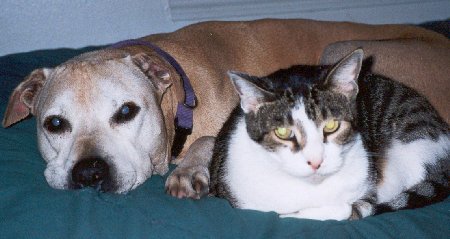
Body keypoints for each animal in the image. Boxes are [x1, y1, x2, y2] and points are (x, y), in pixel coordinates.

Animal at [2, 18, 446, 194]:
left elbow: (209, 142)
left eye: (126, 112)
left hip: (338, 49)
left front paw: (190, 171)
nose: (89, 172)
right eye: (54, 124)